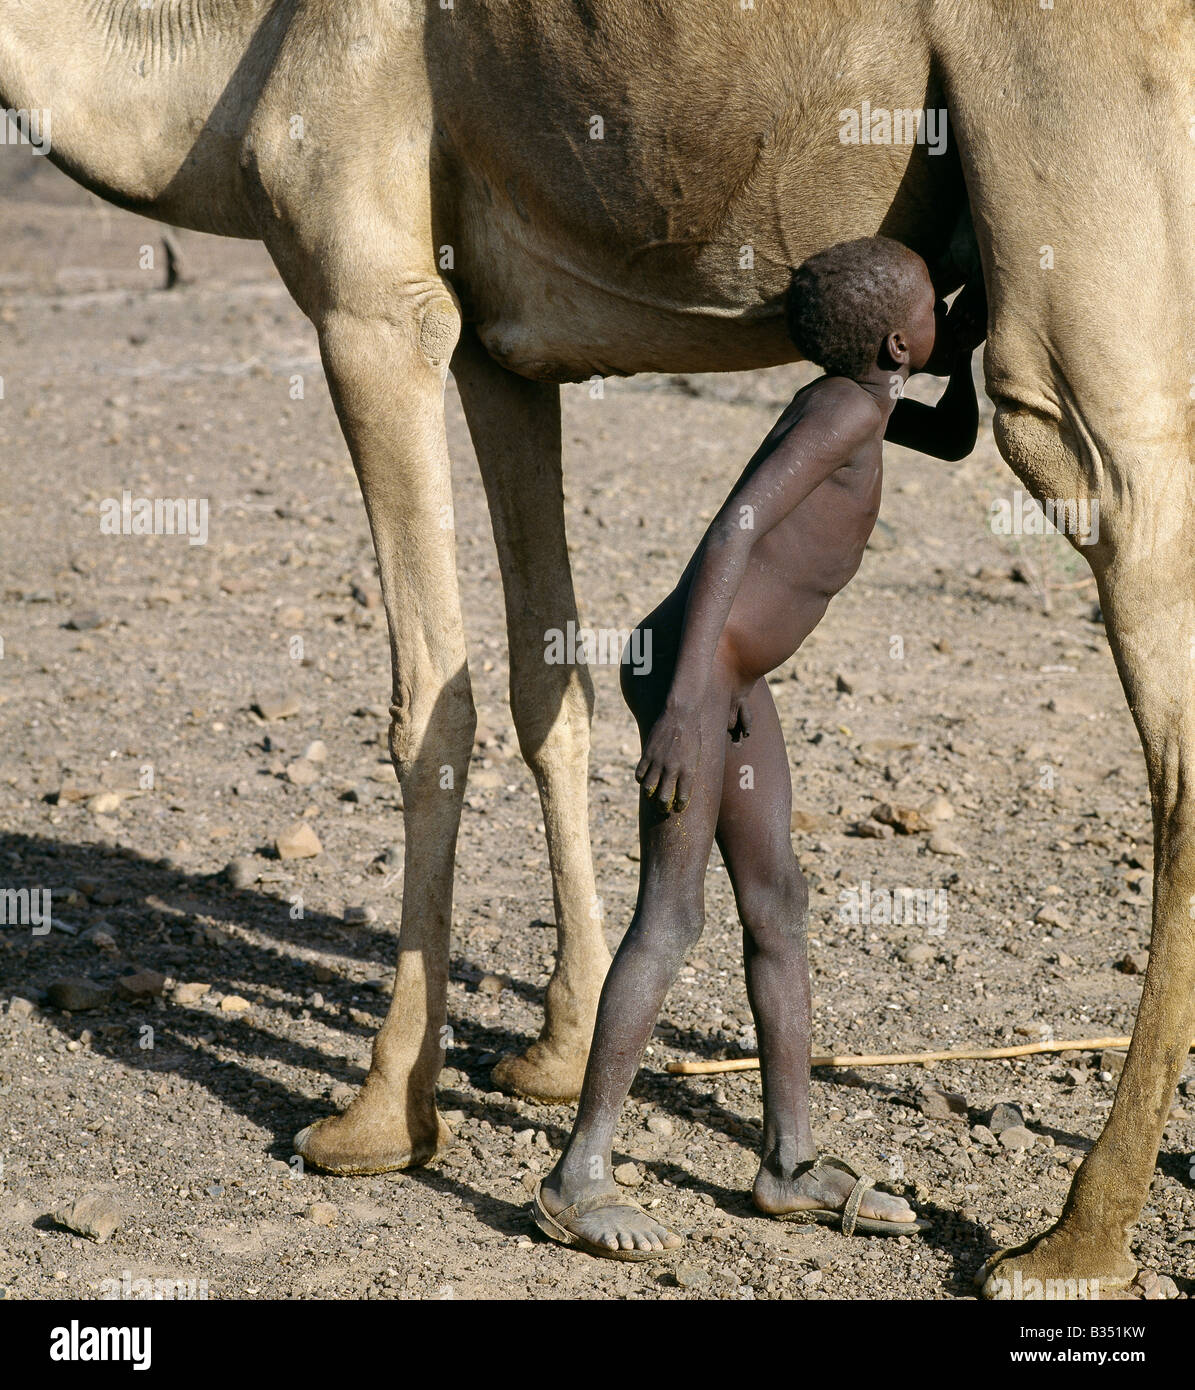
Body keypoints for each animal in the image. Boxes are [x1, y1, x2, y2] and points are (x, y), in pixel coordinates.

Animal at [4, 5, 1189, 1295]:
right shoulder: (500, 347)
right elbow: (544, 681)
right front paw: (553, 1053)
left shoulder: (373, 300)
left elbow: (430, 706)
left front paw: (378, 1119)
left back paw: (1075, 1237)